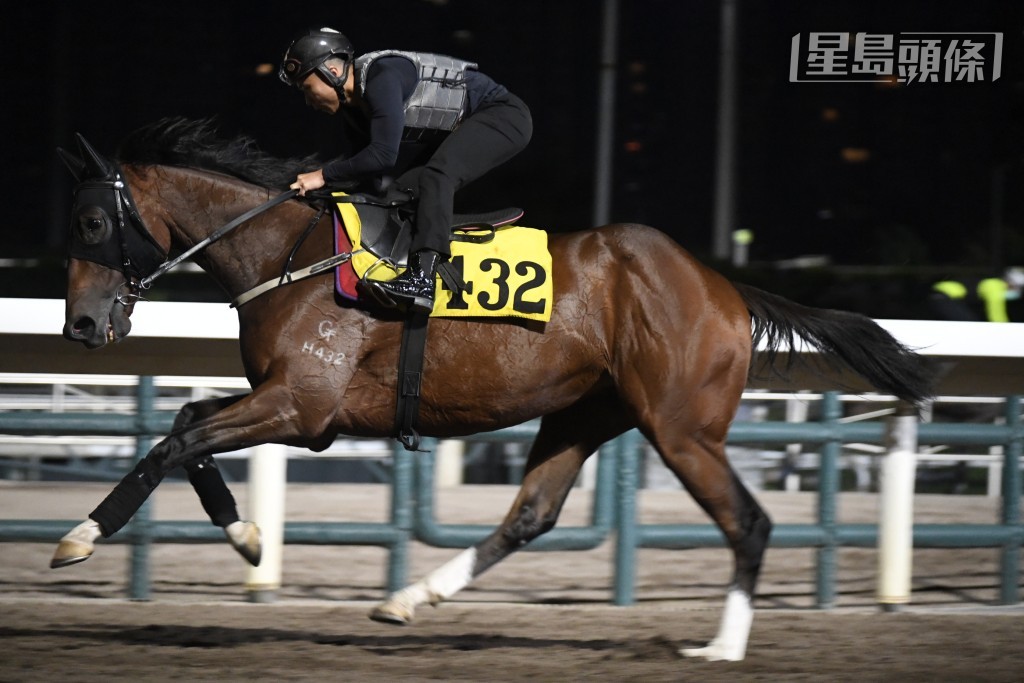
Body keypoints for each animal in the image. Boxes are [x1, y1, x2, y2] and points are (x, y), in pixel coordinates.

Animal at [56, 117, 937, 663]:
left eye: (94, 224)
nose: (81, 325)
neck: (288, 252)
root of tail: (725, 287)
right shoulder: (287, 403)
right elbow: (186, 423)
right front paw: (244, 538)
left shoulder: (302, 407)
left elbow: (178, 437)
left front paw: (82, 537)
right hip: (586, 412)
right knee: (530, 515)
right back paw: (409, 598)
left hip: (682, 427)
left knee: (748, 521)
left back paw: (723, 646)